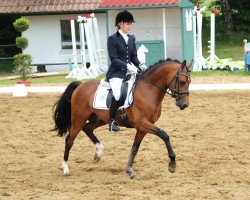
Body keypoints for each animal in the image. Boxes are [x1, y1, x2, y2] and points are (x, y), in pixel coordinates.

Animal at [51, 57, 191, 178]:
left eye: (189, 82)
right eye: (182, 81)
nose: (184, 105)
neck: (149, 89)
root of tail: (80, 86)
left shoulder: (142, 127)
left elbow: (135, 148)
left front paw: (129, 170)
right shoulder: (142, 123)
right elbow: (164, 135)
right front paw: (172, 164)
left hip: (98, 119)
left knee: (87, 128)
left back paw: (98, 153)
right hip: (78, 119)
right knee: (69, 140)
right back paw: (65, 168)